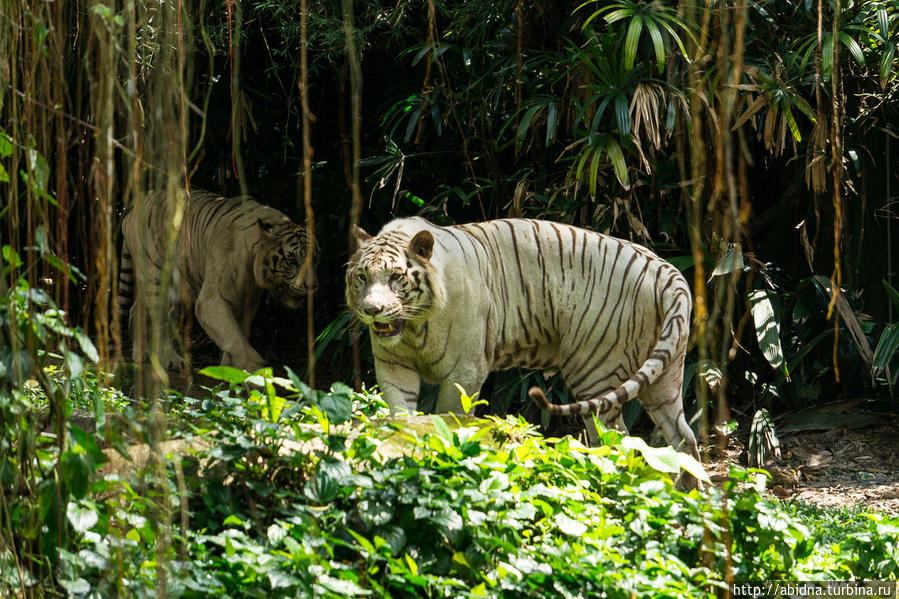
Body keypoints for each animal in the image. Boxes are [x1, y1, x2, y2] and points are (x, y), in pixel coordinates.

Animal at [118, 190, 318, 372]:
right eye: (292, 261)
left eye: (315, 259)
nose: (312, 286)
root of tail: (130, 211)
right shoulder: (211, 301)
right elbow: (233, 336)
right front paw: (253, 369)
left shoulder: (248, 301)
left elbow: (238, 333)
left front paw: (229, 372)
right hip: (159, 279)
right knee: (160, 321)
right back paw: (171, 359)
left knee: (136, 309)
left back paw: (140, 354)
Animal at [346, 218, 704, 462]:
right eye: (362, 276)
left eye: (396, 277)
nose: (372, 310)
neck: (414, 326)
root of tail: (668, 272)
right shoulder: (393, 367)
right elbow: (399, 413)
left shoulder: (464, 372)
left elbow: (450, 418)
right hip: (666, 375)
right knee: (683, 436)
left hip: (594, 370)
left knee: (616, 439)